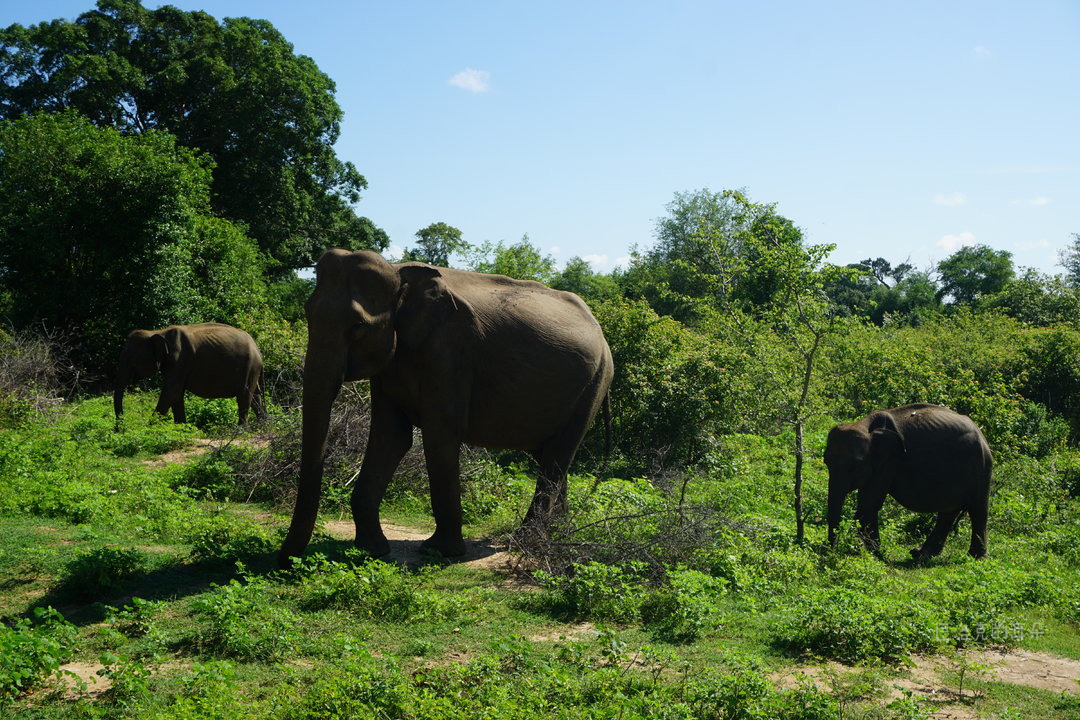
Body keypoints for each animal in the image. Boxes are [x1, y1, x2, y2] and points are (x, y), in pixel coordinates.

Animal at [113, 321, 265, 427]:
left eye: (131, 358)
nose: (119, 430)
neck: (157, 332)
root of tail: (258, 349)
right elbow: (177, 395)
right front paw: (181, 428)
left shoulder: (180, 360)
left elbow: (171, 392)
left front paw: (148, 430)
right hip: (252, 370)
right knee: (255, 396)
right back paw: (263, 425)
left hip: (250, 366)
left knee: (244, 396)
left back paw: (240, 429)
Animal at [278, 248, 613, 569]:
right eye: (307, 312)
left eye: (358, 325)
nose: (282, 559)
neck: (400, 273)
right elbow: (390, 437)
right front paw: (371, 550)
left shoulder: (450, 350)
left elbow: (439, 436)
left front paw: (439, 552)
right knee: (551, 457)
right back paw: (558, 534)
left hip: (594, 385)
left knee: (557, 456)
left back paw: (526, 540)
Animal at [820, 403, 989, 561]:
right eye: (826, 461)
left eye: (856, 465)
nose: (830, 550)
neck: (864, 425)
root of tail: (981, 435)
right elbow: (868, 504)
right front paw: (875, 553)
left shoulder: (890, 460)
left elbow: (868, 505)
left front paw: (877, 555)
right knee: (949, 511)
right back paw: (920, 554)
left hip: (980, 466)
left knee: (977, 508)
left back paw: (975, 556)